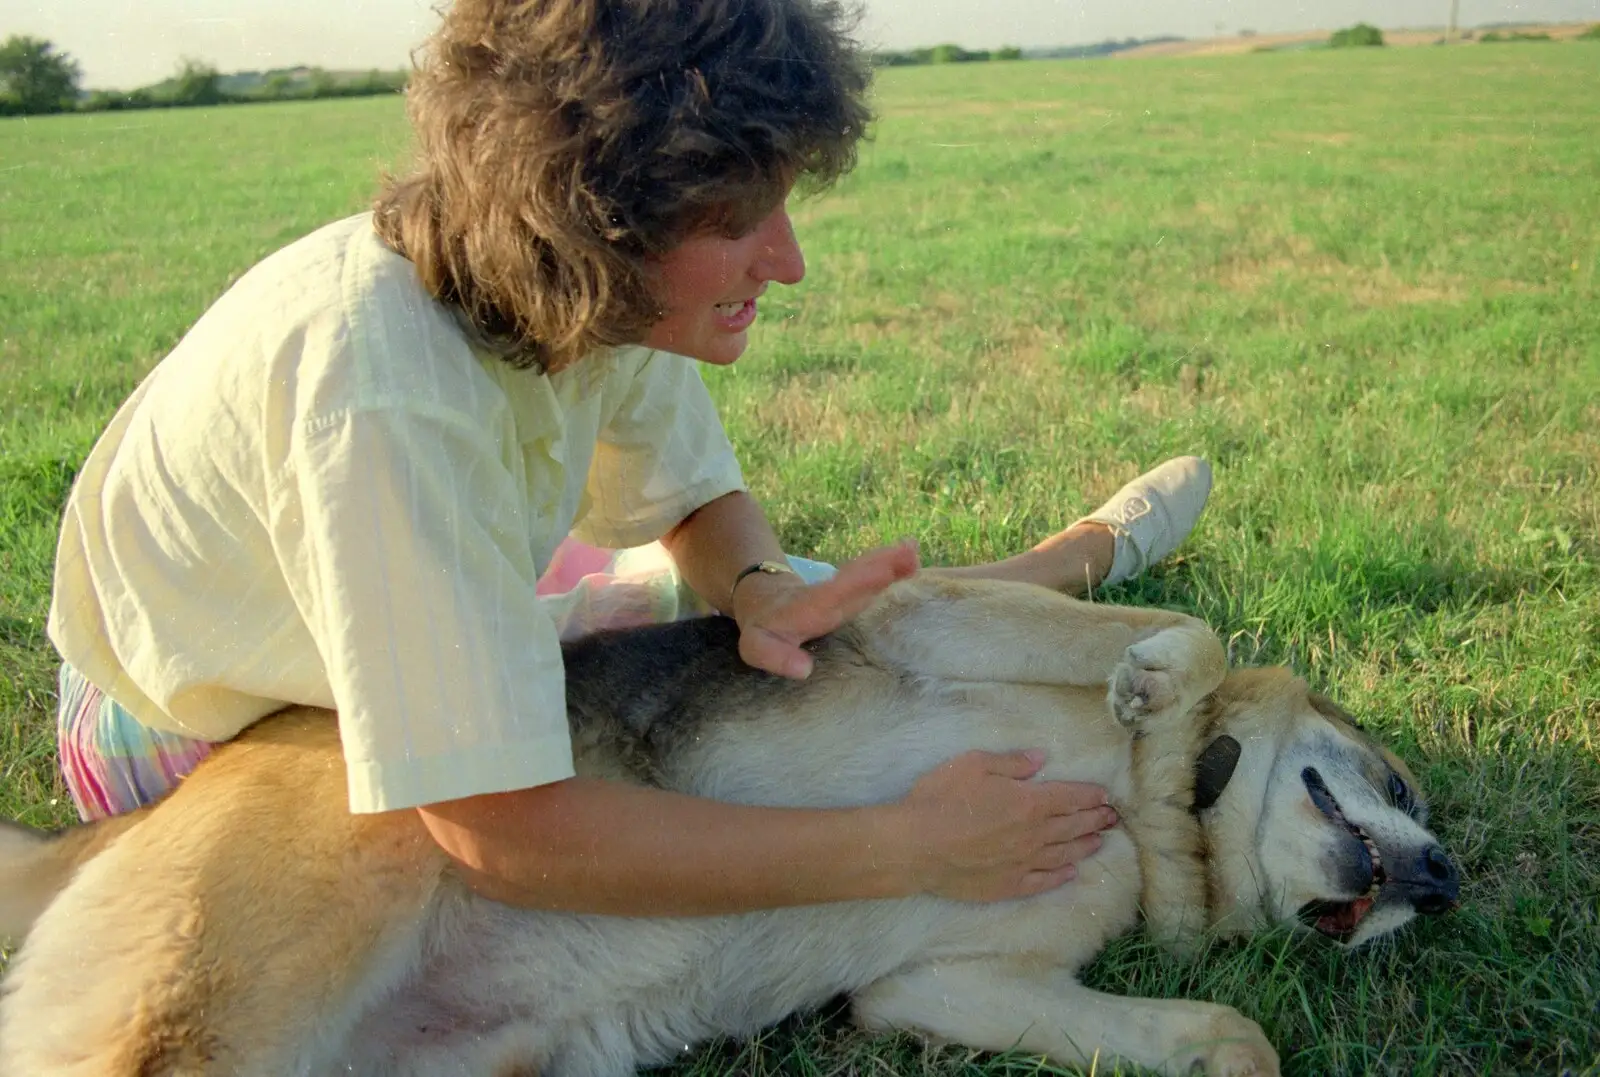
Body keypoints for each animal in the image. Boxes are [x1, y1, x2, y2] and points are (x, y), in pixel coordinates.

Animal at [0, 579, 1459, 1075]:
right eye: (1397, 781)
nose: (1441, 886)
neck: (1153, 810)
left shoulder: (940, 984)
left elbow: (1232, 1036)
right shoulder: (929, 610)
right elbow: (1188, 636)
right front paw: (1154, 673)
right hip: (215, 1013)